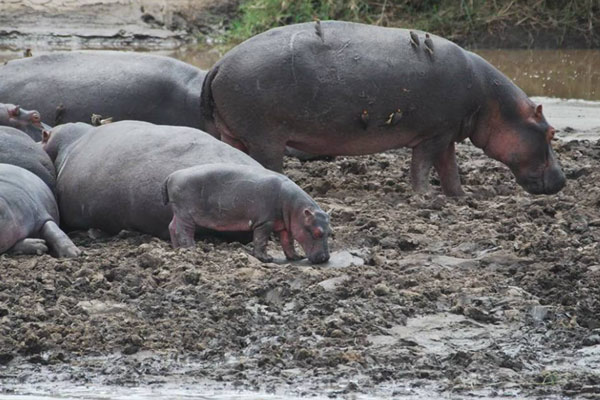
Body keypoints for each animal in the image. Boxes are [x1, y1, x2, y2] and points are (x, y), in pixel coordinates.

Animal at [162, 162, 330, 262]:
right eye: (317, 233)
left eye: (330, 232)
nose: (326, 258)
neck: (296, 208)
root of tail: (171, 175)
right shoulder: (265, 222)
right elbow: (261, 240)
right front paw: (267, 258)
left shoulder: (285, 225)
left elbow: (288, 242)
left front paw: (296, 257)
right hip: (185, 212)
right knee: (184, 231)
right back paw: (191, 250)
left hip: (178, 211)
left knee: (172, 226)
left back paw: (177, 249)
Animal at [202, 20, 568, 195]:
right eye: (551, 132)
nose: (563, 180)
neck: (493, 104)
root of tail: (218, 64)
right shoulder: (434, 134)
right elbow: (423, 165)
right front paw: (424, 197)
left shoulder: (447, 134)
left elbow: (449, 168)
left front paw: (462, 197)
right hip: (266, 138)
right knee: (269, 164)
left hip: (233, 133)